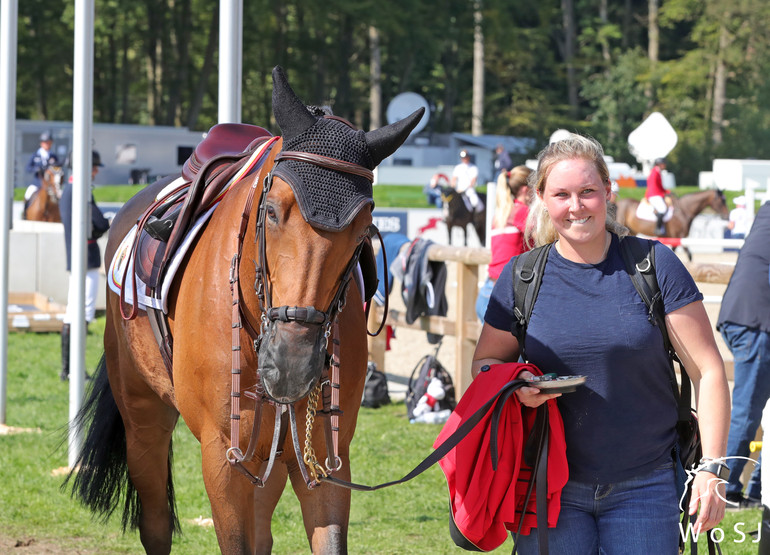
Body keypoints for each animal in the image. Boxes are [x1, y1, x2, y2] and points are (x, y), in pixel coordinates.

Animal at [67, 67, 424, 552]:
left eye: (363, 227)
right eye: (271, 211)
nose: (291, 365)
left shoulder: (325, 456)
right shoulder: (222, 458)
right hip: (144, 418)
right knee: (155, 521)